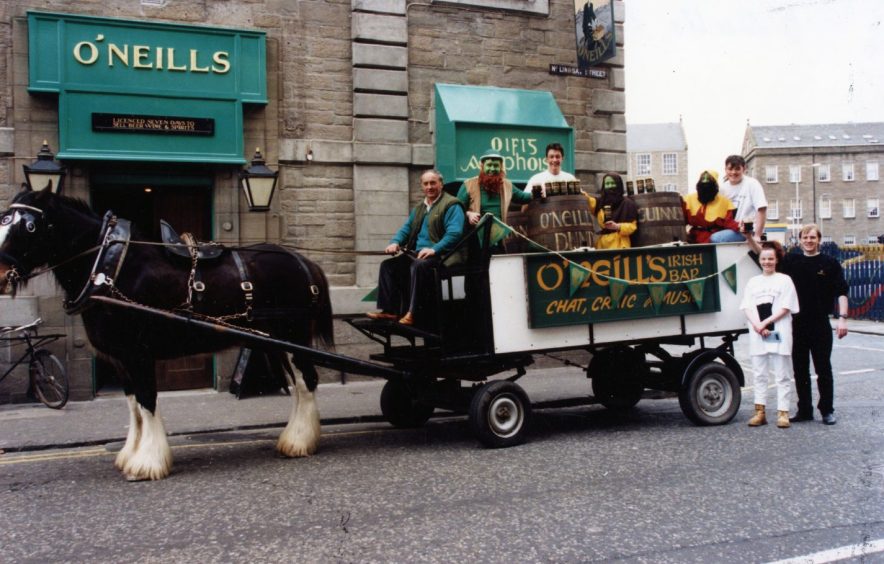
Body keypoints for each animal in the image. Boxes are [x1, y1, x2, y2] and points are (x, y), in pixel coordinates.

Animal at [0, 188, 332, 480]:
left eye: (29, 226)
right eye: (4, 220)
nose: (2, 275)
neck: (108, 268)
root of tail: (306, 263)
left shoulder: (138, 354)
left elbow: (147, 401)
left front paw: (147, 463)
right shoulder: (121, 359)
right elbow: (133, 406)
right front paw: (130, 456)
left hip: (295, 336)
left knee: (307, 381)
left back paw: (300, 441)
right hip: (276, 342)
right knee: (298, 385)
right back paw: (293, 439)